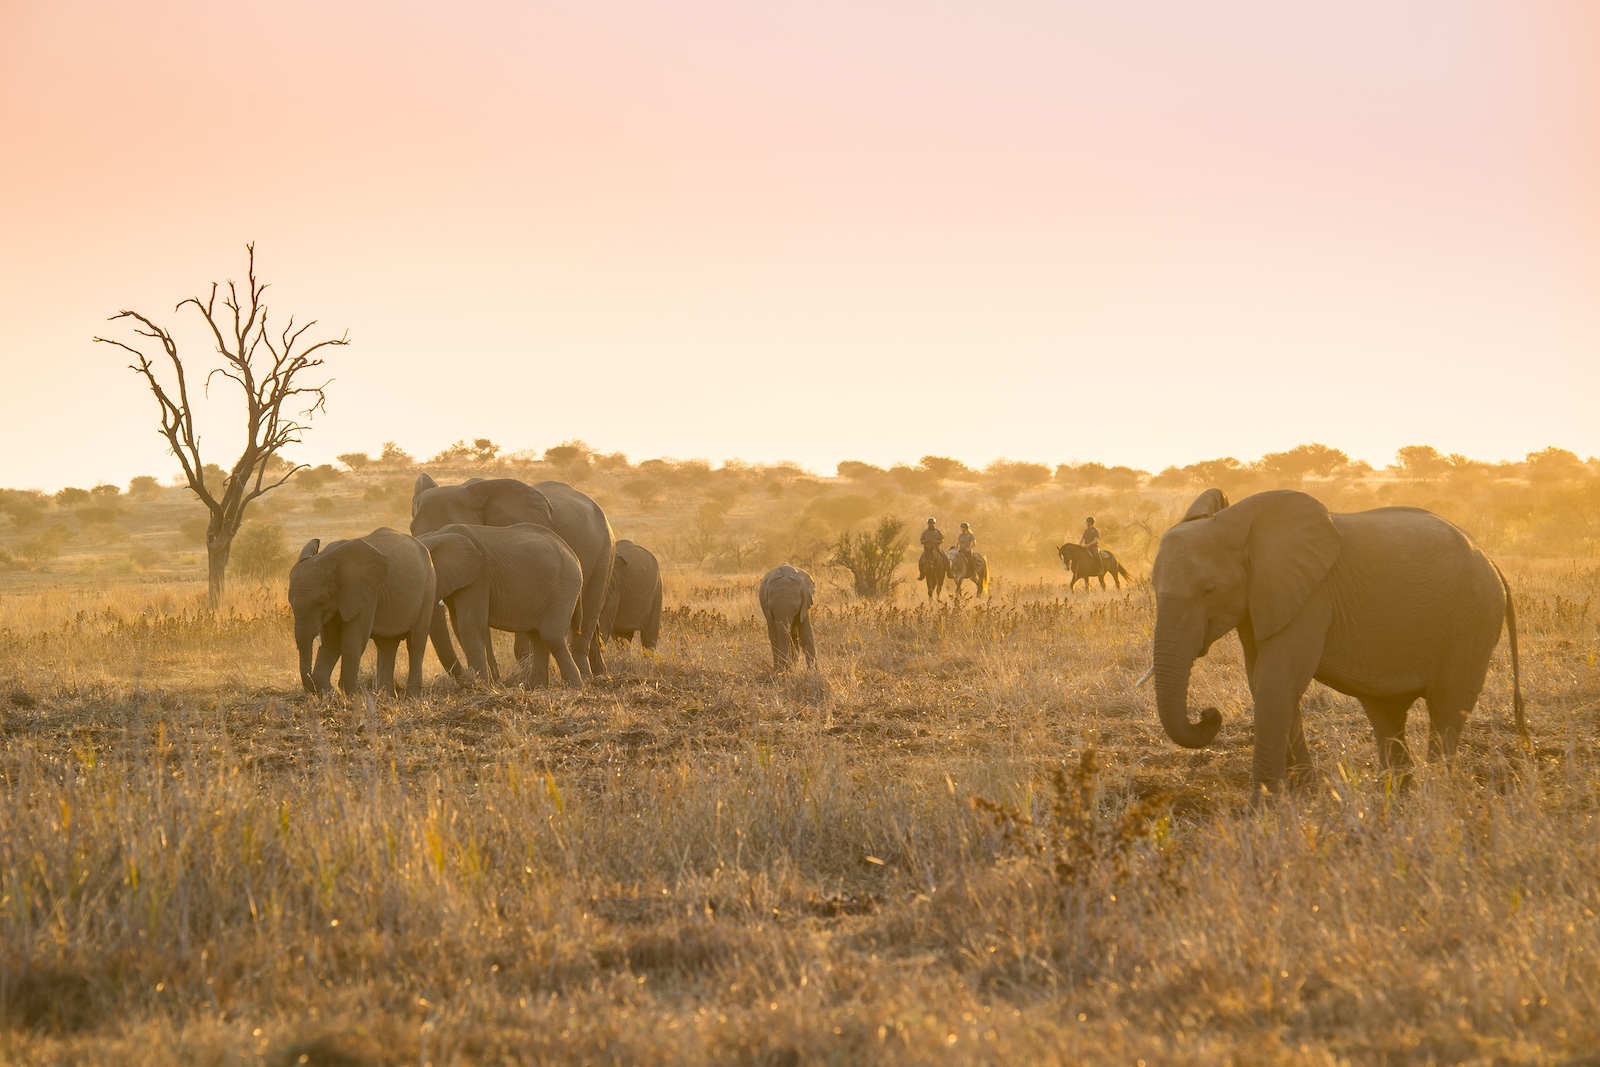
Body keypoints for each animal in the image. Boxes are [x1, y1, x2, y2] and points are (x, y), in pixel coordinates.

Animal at [288, 527, 435, 697]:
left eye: (320, 602)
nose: (329, 692)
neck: (326, 558)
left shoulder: (366, 594)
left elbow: (351, 641)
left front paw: (349, 696)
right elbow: (331, 642)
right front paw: (332, 695)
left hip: (428, 589)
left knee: (416, 642)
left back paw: (411, 696)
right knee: (387, 645)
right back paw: (385, 696)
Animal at [409, 473, 614, 675]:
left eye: (452, 526)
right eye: (412, 529)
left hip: (604, 551)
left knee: (588, 612)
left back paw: (589, 675)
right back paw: (599, 671)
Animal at [419, 524, 588, 694]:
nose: (468, 682)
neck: (436, 535)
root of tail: (575, 557)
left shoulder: (478, 577)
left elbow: (469, 624)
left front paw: (480, 687)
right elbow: (457, 627)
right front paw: (478, 684)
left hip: (563, 589)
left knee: (551, 636)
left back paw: (575, 688)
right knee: (537, 636)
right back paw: (535, 688)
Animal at [1152, 489, 1523, 796]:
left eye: (1209, 590)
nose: (1208, 714)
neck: (1235, 523)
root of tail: (1490, 559)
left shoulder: (1311, 597)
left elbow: (1277, 682)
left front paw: (1264, 807)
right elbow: (1262, 682)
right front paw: (1306, 794)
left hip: (1471, 622)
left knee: (1448, 706)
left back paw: (1435, 796)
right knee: (1386, 713)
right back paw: (1396, 801)